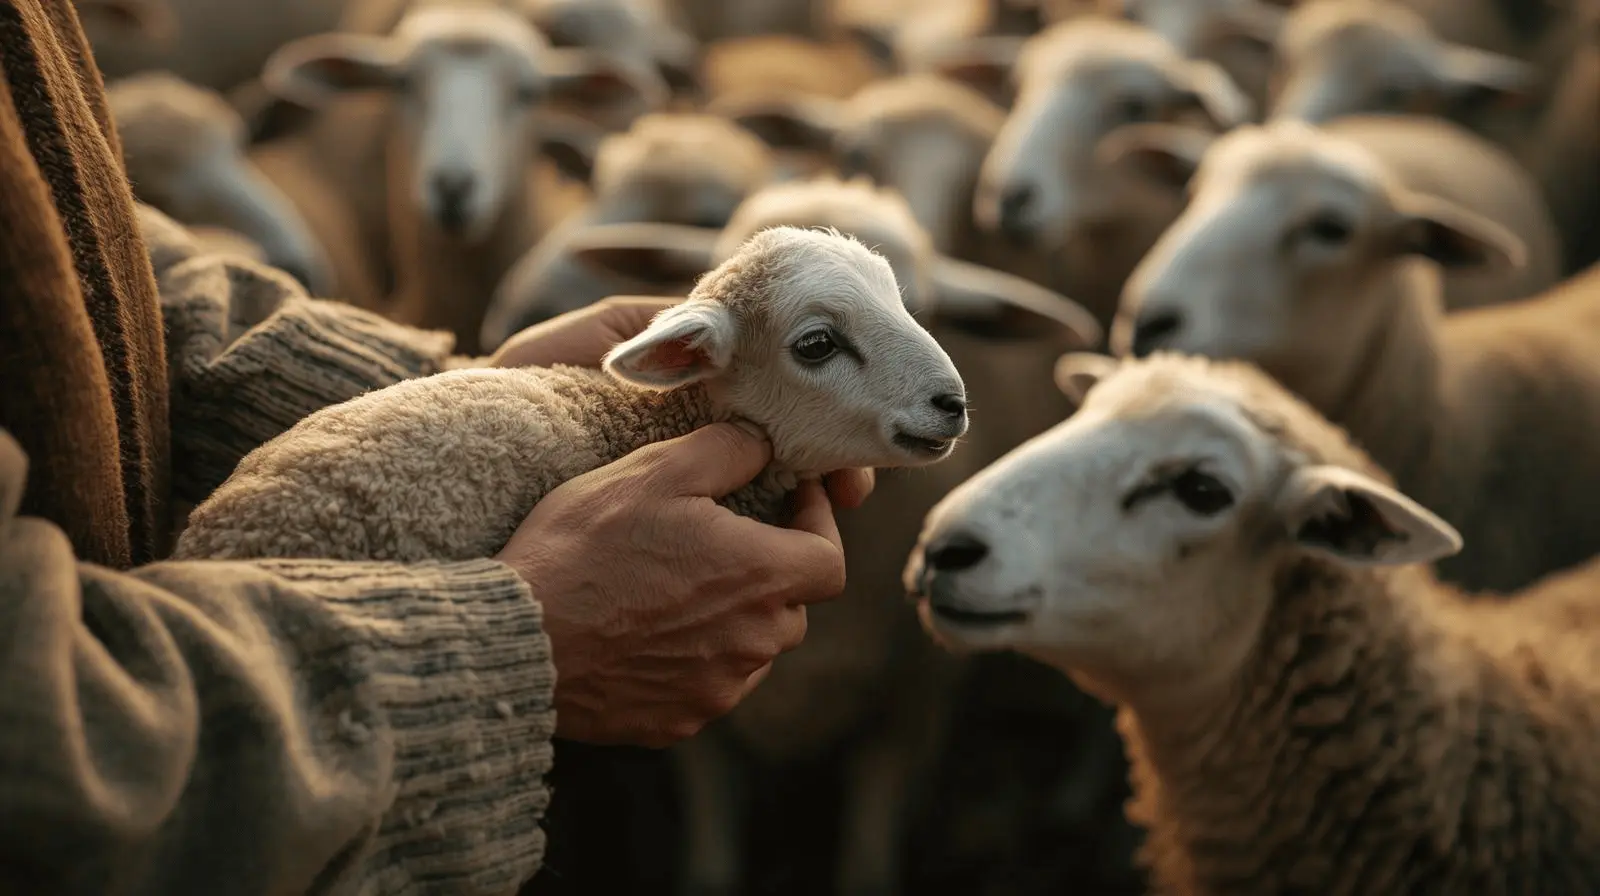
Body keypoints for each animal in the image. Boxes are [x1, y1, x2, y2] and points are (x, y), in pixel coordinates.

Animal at [559, 176, 1120, 896]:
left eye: (920, 307)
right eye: (817, 344)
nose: (952, 404)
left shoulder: (907, 705)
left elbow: (867, 859)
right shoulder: (688, 710)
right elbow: (714, 854)